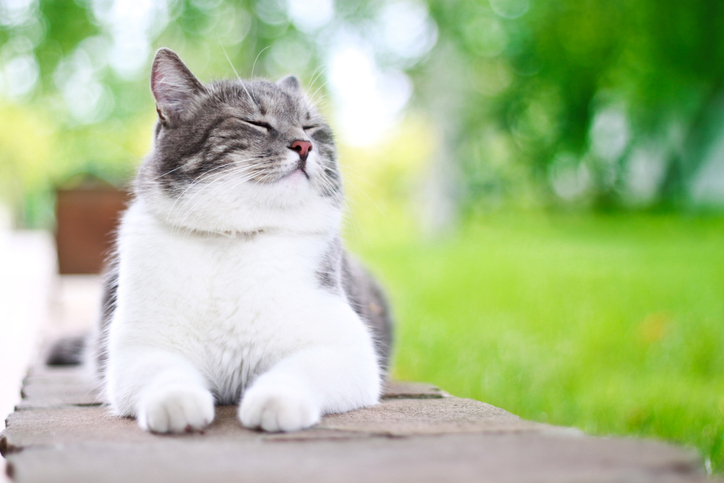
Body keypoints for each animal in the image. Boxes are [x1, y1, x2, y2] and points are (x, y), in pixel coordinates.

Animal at [50, 49, 394, 434]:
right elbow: (165, 374)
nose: (304, 145)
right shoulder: (138, 352)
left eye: (311, 127)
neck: (235, 236)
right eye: (254, 122)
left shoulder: (349, 352)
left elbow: (298, 371)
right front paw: (176, 403)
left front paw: (274, 401)